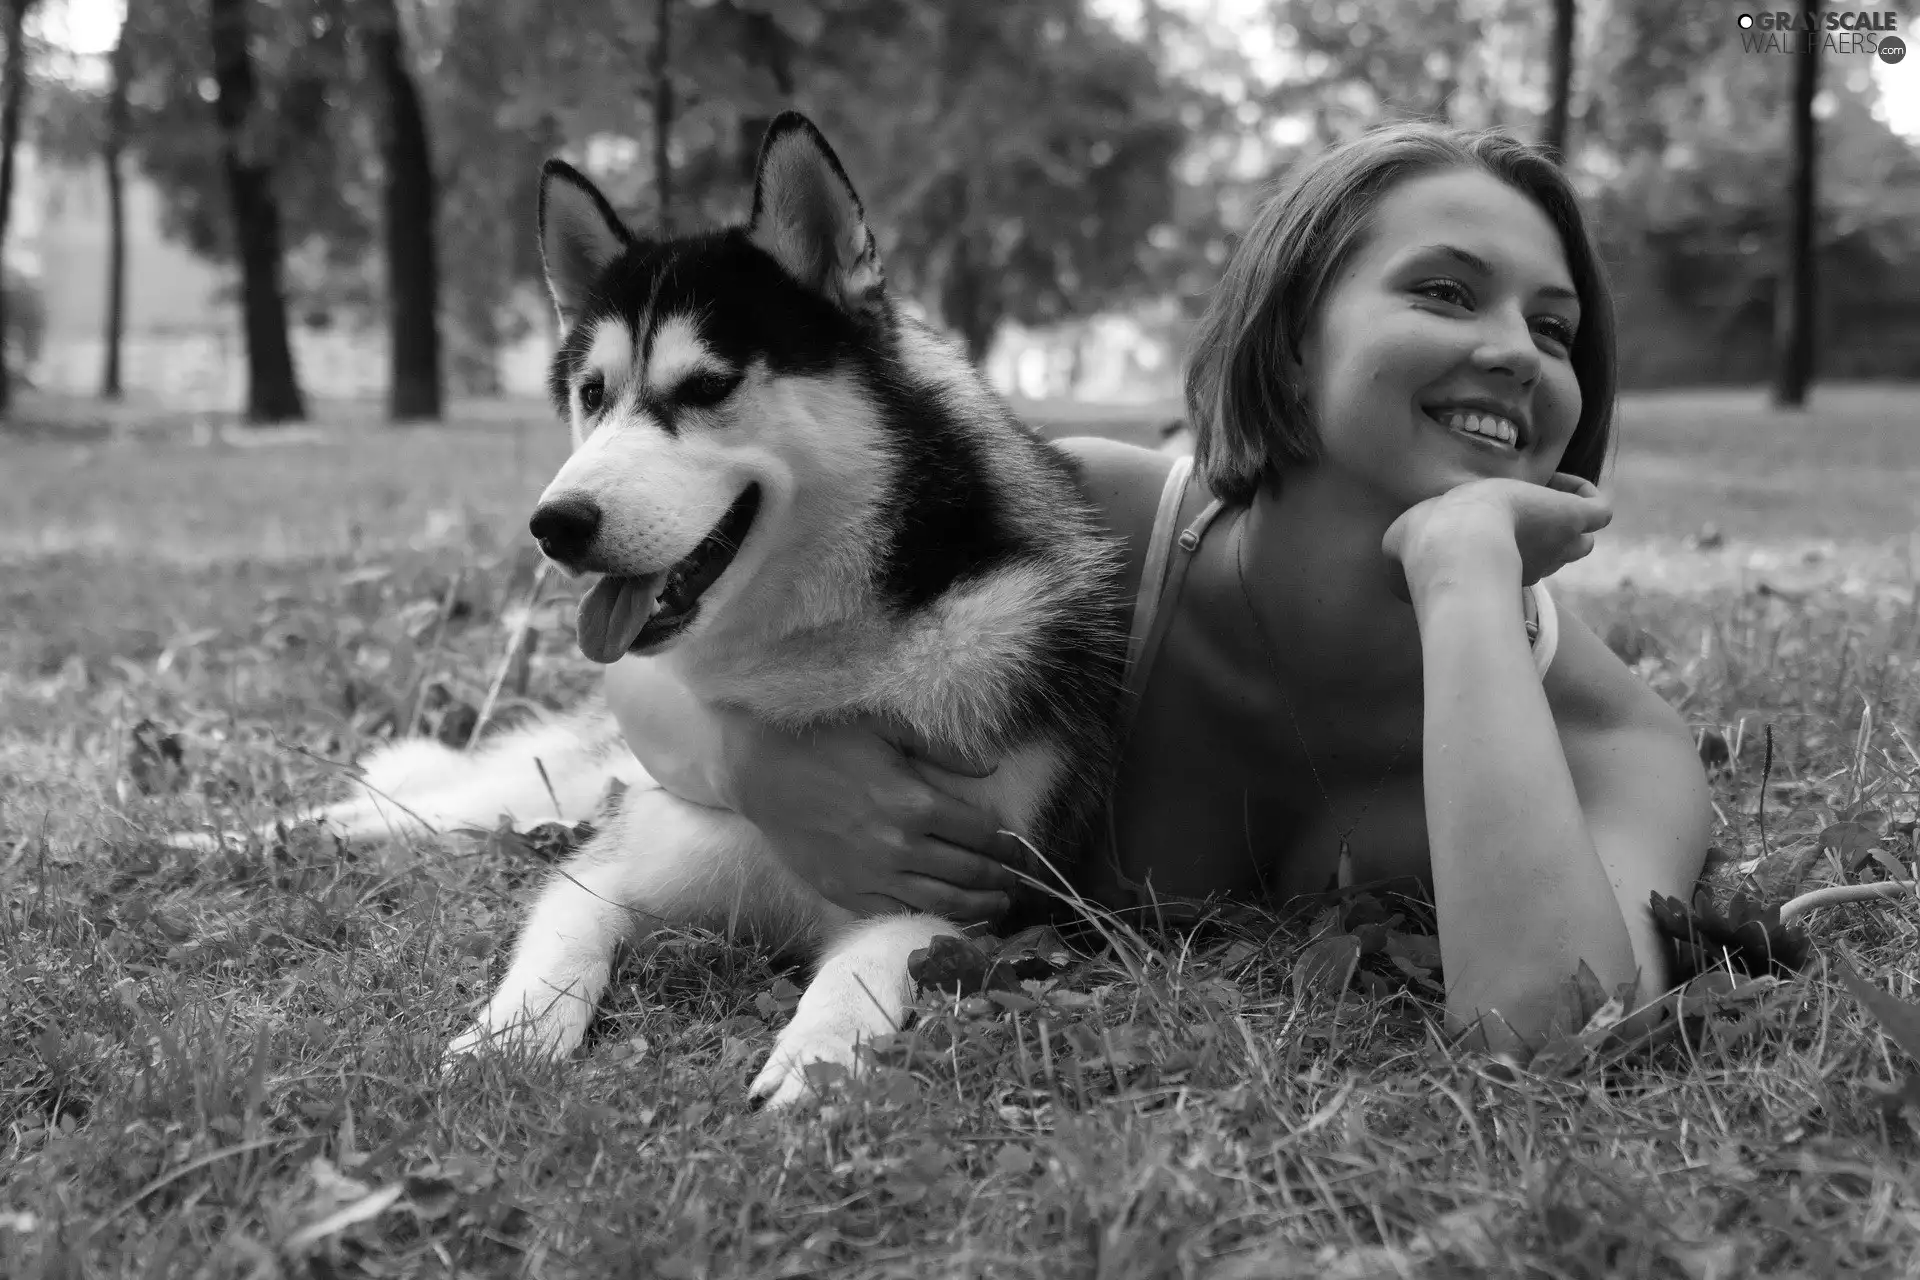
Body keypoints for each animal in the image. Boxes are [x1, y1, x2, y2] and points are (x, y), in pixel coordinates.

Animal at [183, 112, 1121, 1113]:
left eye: (706, 387)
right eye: (591, 395)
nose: (554, 524)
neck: (814, 661)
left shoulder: (974, 898)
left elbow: (871, 964)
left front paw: (817, 1056)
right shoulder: (611, 870)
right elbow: (556, 950)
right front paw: (507, 1043)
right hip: (533, 794)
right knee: (380, 811)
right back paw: (212, 840)